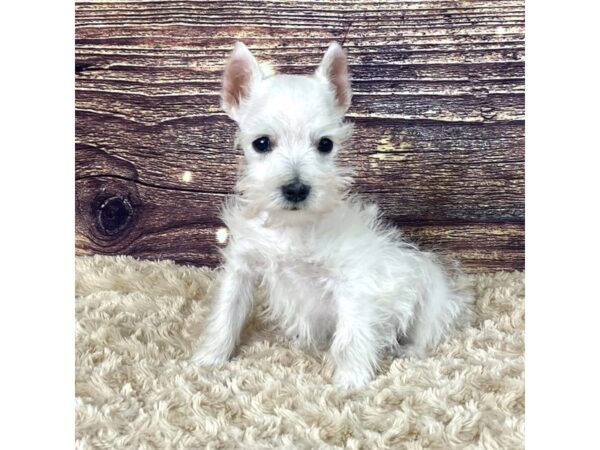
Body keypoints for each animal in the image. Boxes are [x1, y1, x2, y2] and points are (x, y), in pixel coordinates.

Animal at [192, 41, 474, 386]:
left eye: (325, 144)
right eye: (262, 143)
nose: (296, 189)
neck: (292, 227)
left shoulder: (351, 281)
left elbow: (352, 334)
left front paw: (350, 381)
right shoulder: (242, 267)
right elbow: (227, 312)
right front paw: (208, 359)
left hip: (431, 296)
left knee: (425, 333)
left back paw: (407, 352)